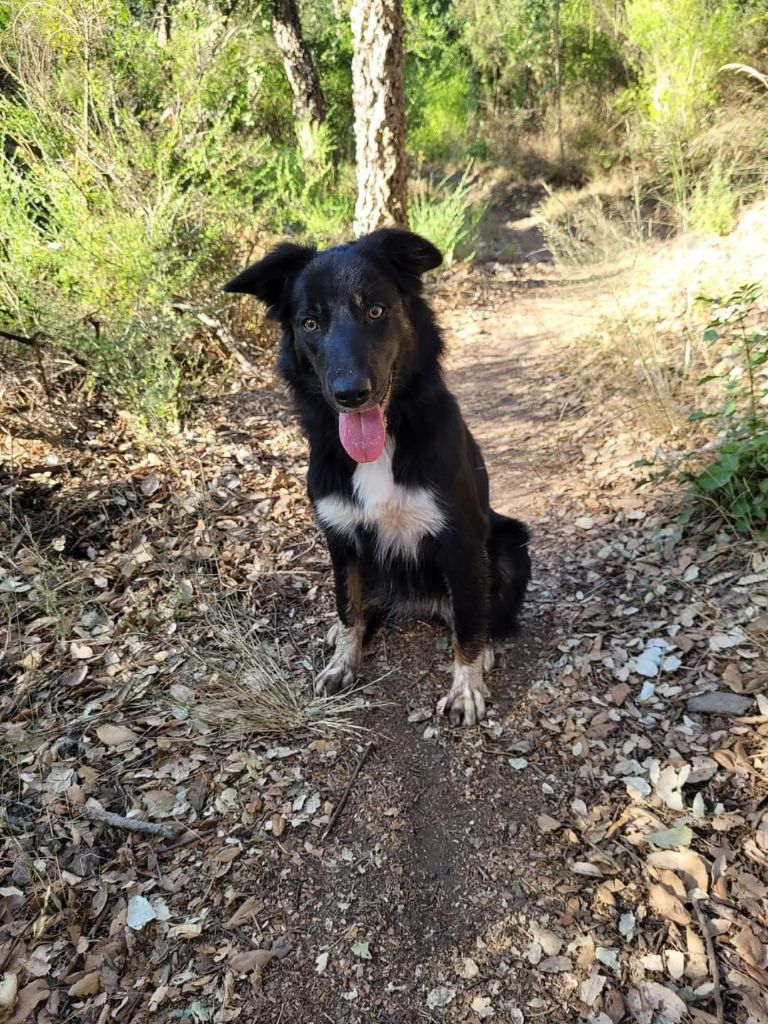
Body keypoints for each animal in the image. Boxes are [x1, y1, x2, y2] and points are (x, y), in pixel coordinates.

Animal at [225, 230, 532, 729]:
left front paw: (466, 686)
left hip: (510, 543)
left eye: (375, 310)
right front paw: (343, 661)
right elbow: (348, 607)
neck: (387, 436)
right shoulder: (340, 537)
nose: (350, 394)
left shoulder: (461, 539)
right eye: (310, 323)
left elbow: (469, 621)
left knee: (481, 611)